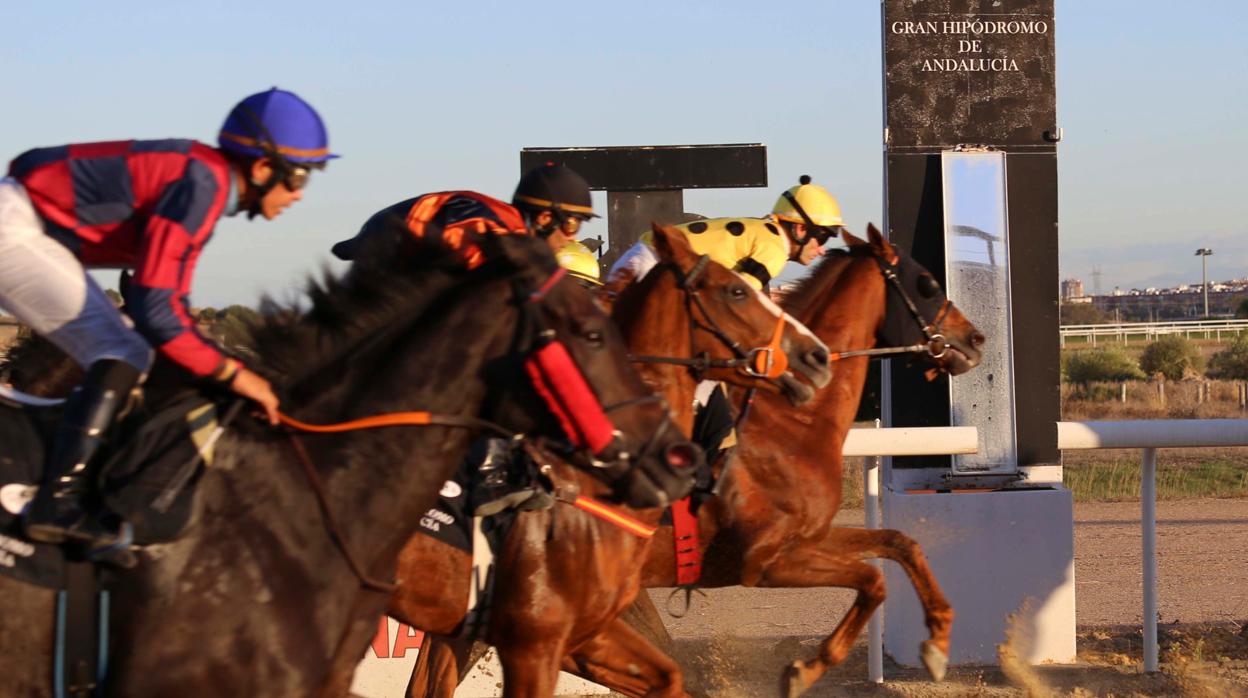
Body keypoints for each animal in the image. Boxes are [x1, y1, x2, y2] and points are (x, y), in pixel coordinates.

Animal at [559, 223, 993, 698]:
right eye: (927, 283)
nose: (975, 338)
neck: (793, 418)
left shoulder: (807, 537)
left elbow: (900, 543)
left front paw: (937, 644)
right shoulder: (764, 561)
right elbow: (872, 580)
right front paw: (805, 669)